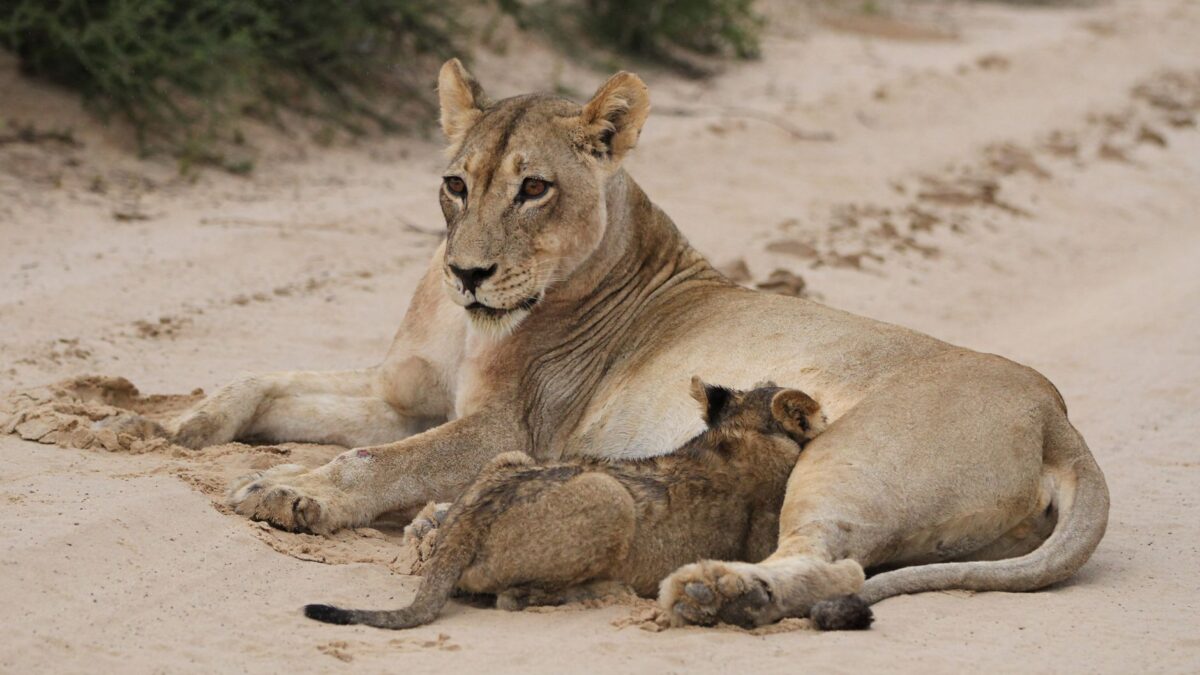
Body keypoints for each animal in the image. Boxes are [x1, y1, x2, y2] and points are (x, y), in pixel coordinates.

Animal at [303, 379, 871, 630]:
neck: (743, 429)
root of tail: (462, 533)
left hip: (512, 458)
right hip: (608, 495)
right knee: (513, 598)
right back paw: (603, 592)